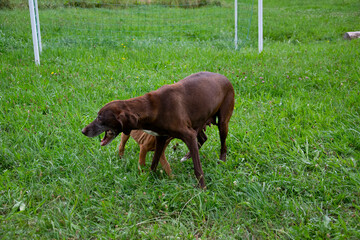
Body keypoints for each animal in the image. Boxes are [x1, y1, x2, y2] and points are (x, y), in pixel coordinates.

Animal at [82, 71, 235, 189]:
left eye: (100, 118)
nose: (83, 131)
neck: (153, 108)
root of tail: (225, 78)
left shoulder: (188, 135)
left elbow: (198, 169)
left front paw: (202, 189)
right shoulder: (161, 138)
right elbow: (154, 162)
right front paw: (149, 179)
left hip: (222, 123)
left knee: (223, 145)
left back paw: (221, 161)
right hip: (198, 123)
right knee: (203, 139)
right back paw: (187, 156)